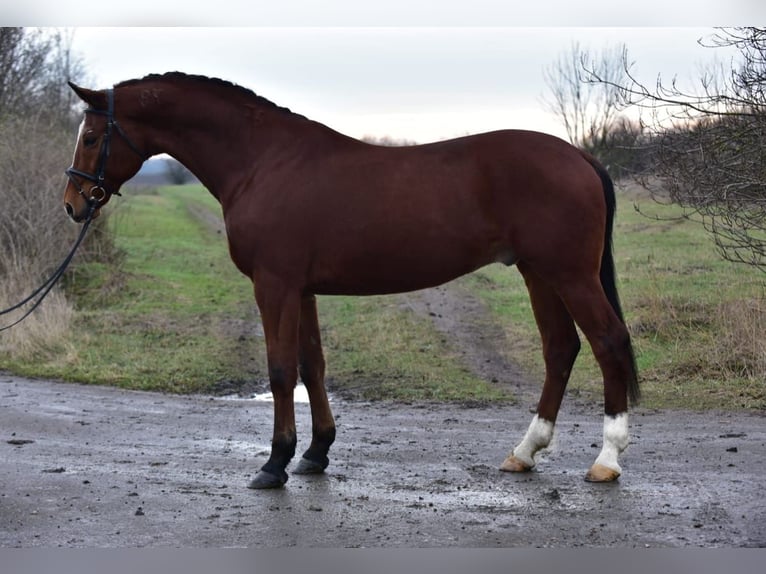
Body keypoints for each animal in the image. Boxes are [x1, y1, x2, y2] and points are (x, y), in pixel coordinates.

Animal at [64, 72, 639, 489]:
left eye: (91, 137)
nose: (72, 205)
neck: (263, 162)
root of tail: (579, 155)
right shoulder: (302, 289)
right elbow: (311, 366)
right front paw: (315, 453)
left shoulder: (274, 285)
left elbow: (279, 370)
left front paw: (274, 464)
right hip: (537, 272)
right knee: (560, 348)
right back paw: (525, 452)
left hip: (570, 274)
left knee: (608, 342)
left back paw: (607, 459)